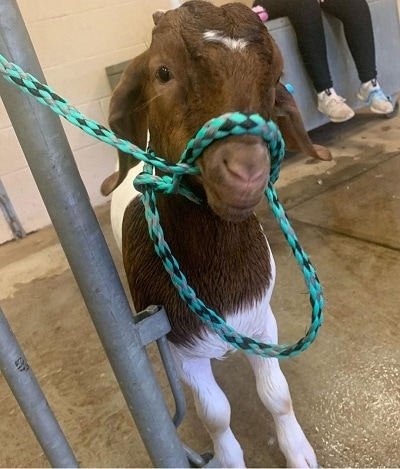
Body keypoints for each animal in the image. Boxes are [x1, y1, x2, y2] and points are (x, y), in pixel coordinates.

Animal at [101, 1, 328, 466]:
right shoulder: (183, 349)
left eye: (276, 78)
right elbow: (216, 414)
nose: (246, 171)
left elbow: (276, 394)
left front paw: (299, 452)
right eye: (163, 71)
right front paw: (228, 458)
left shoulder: (262, 323)